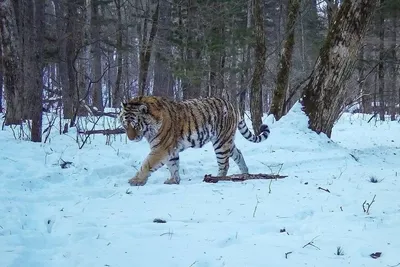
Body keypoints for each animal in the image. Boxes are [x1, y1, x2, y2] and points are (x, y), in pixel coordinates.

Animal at [119, 96, 268, 186]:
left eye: (136, 125)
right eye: (125, 125)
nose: (131, 138)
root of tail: (232, 104)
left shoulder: (161, 148)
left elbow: (147, 164)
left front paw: (136, 180)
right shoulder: (170, 149)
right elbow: (173, 165)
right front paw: (174, 180)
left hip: (221, 142)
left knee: (224, 164)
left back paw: (217, 178)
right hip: (227, 141)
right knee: (238, 153)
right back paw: (245, 173)